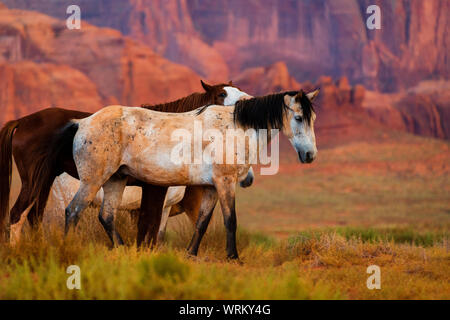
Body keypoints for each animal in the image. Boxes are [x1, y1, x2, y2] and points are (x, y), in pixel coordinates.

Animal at [0, 80, 250, 245]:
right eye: (221, 94)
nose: (245, 104)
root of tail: (23, 121)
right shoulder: (153, 192)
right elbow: (147, 228)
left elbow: (155, 234)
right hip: (37, 183)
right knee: (19, 215)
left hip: (44, 181)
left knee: (32, 216)